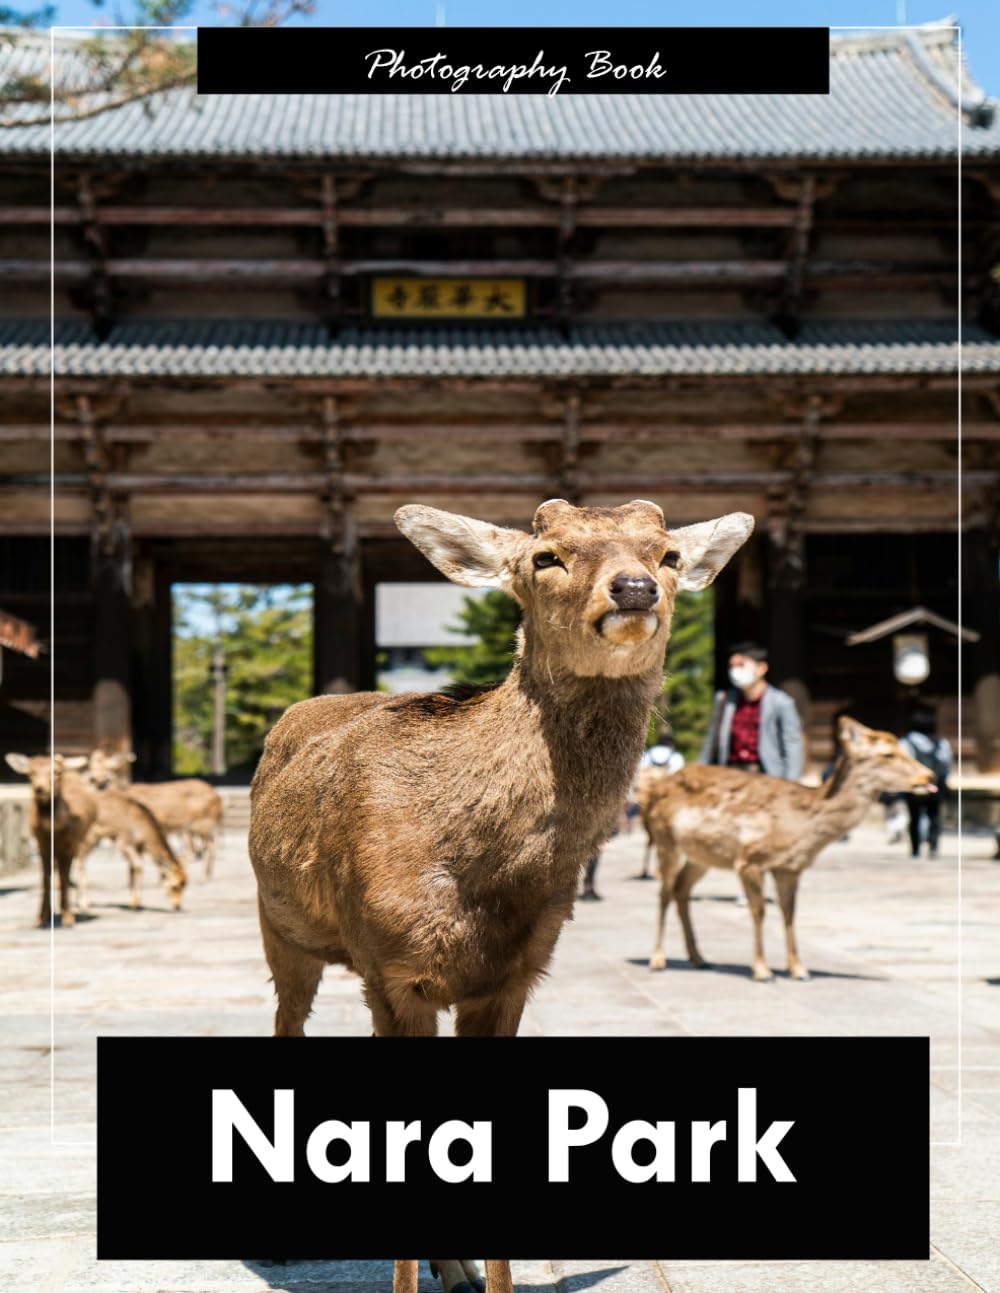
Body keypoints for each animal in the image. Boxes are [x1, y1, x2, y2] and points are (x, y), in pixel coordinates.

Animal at [5, 753, 96, 927]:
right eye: (31, 773)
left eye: (56, 772)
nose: (40, 789)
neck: (53, 830)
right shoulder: (42, 843)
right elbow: (45, 878)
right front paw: (41, 917)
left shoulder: (69, 843)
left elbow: (64, 875)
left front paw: (68, 917)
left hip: (82, 838)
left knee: (75, 866)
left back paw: (79, 907)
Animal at [85, 750, 223, 879]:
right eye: (91, 766)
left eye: (106, 767)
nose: (94, 779)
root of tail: (217, 796)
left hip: (203, 823)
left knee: (210, 846)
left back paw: (204, 876)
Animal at [249, 498, 753, 1293]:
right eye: (546, 556)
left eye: (668, 554)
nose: (634, 587)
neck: (480, 875)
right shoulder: (390, 970)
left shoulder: (516, 974)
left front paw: (487, 1278)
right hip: (283, 931)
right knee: (286, 1027)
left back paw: (452, 1269)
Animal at [645, 715, 937, 983]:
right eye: (888, 754)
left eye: (905, 749)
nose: (929, 775)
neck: (799, 828)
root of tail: (654, 788)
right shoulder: (750, 859)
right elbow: (759, 911)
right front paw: (762, 970)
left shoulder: (790, 867)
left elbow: (790, 913)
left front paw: (798, 970)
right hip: (664, 838)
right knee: (664, 892)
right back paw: (657, 959)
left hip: (701, 856)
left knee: (681, 889)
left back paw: (698, 958)